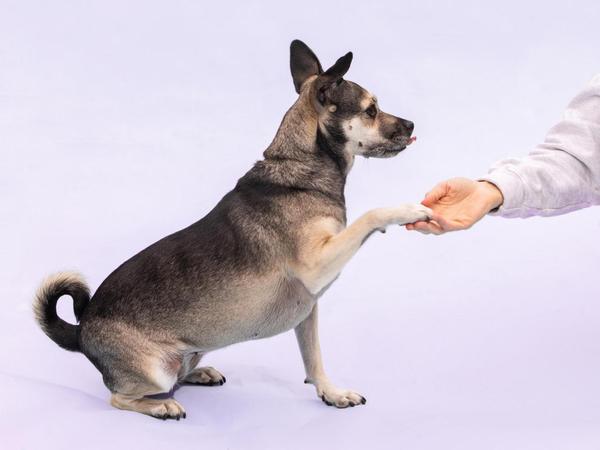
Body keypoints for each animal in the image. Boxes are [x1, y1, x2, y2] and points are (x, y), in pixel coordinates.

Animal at [34, 40, 432, 420]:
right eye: (371, 110)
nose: (412, 125)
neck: (299, 170)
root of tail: (81, 330)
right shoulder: (316, 267)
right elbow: (370, 215)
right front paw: (405, 209)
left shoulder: (309, 309)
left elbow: (313, 357)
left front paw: (331, 394)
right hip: (154, 371)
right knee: (120, 396)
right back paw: (162, 406)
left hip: (190, 352)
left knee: (177, 373)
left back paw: (199, 373)